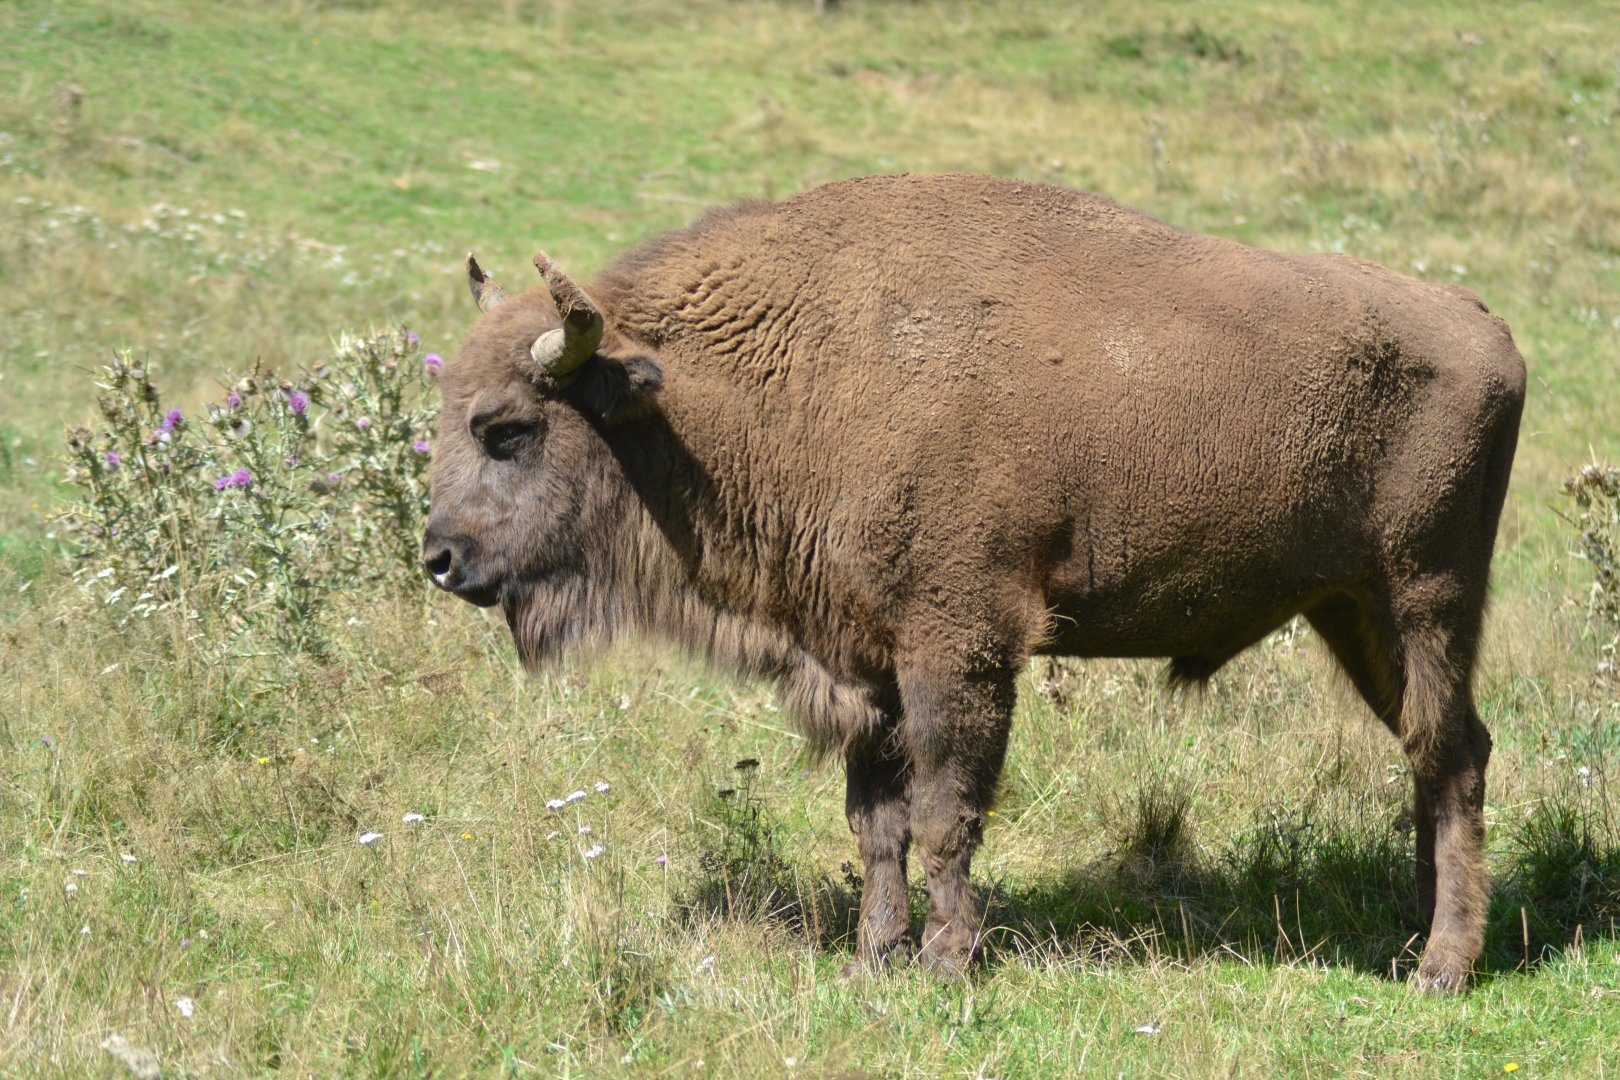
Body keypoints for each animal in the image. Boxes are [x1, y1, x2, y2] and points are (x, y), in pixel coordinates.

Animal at [422, 173, 1524, 992]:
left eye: (509, 428)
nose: (438, 557)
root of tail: (1488, 328)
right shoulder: (862, 665)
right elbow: (876, 824)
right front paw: (875, 960)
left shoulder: (958, 650)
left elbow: (947, 813)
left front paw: (950, 960)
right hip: (1351, 613)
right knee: (1434, 752)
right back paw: (1413, 928)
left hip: (1425, 598)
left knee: (1453, 754)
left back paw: (1441, 965)